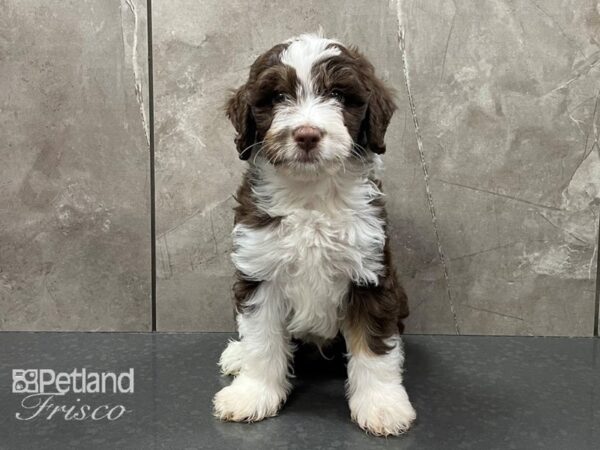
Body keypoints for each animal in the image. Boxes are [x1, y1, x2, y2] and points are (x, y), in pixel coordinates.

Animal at [213, 34, 414, 436]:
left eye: (337, 94)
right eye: (277, 97)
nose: (306, 134)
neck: (311, 195)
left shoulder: (369, 275)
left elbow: (373, 347)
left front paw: (382, 406)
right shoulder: (260, 271)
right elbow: (262, 341)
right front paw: (252, 394)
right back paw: (237, 355)